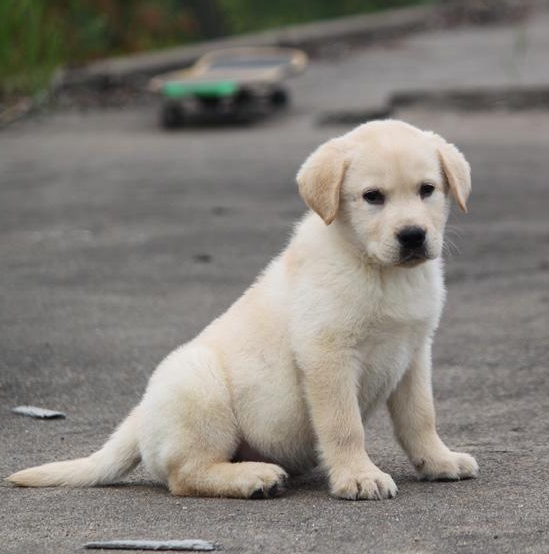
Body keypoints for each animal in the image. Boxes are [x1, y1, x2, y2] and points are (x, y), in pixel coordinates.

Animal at [10, 121, 478, 500]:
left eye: (427, 189)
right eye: (372, 197)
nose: (413, 236)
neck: (378, 270)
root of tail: (140, 416)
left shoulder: (413, 354)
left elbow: (421, 416)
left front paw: (438, 460)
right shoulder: (327, 355)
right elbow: (344, 426)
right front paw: (358, 477)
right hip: (199, 386)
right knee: (184, 475)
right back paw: (254, 478)